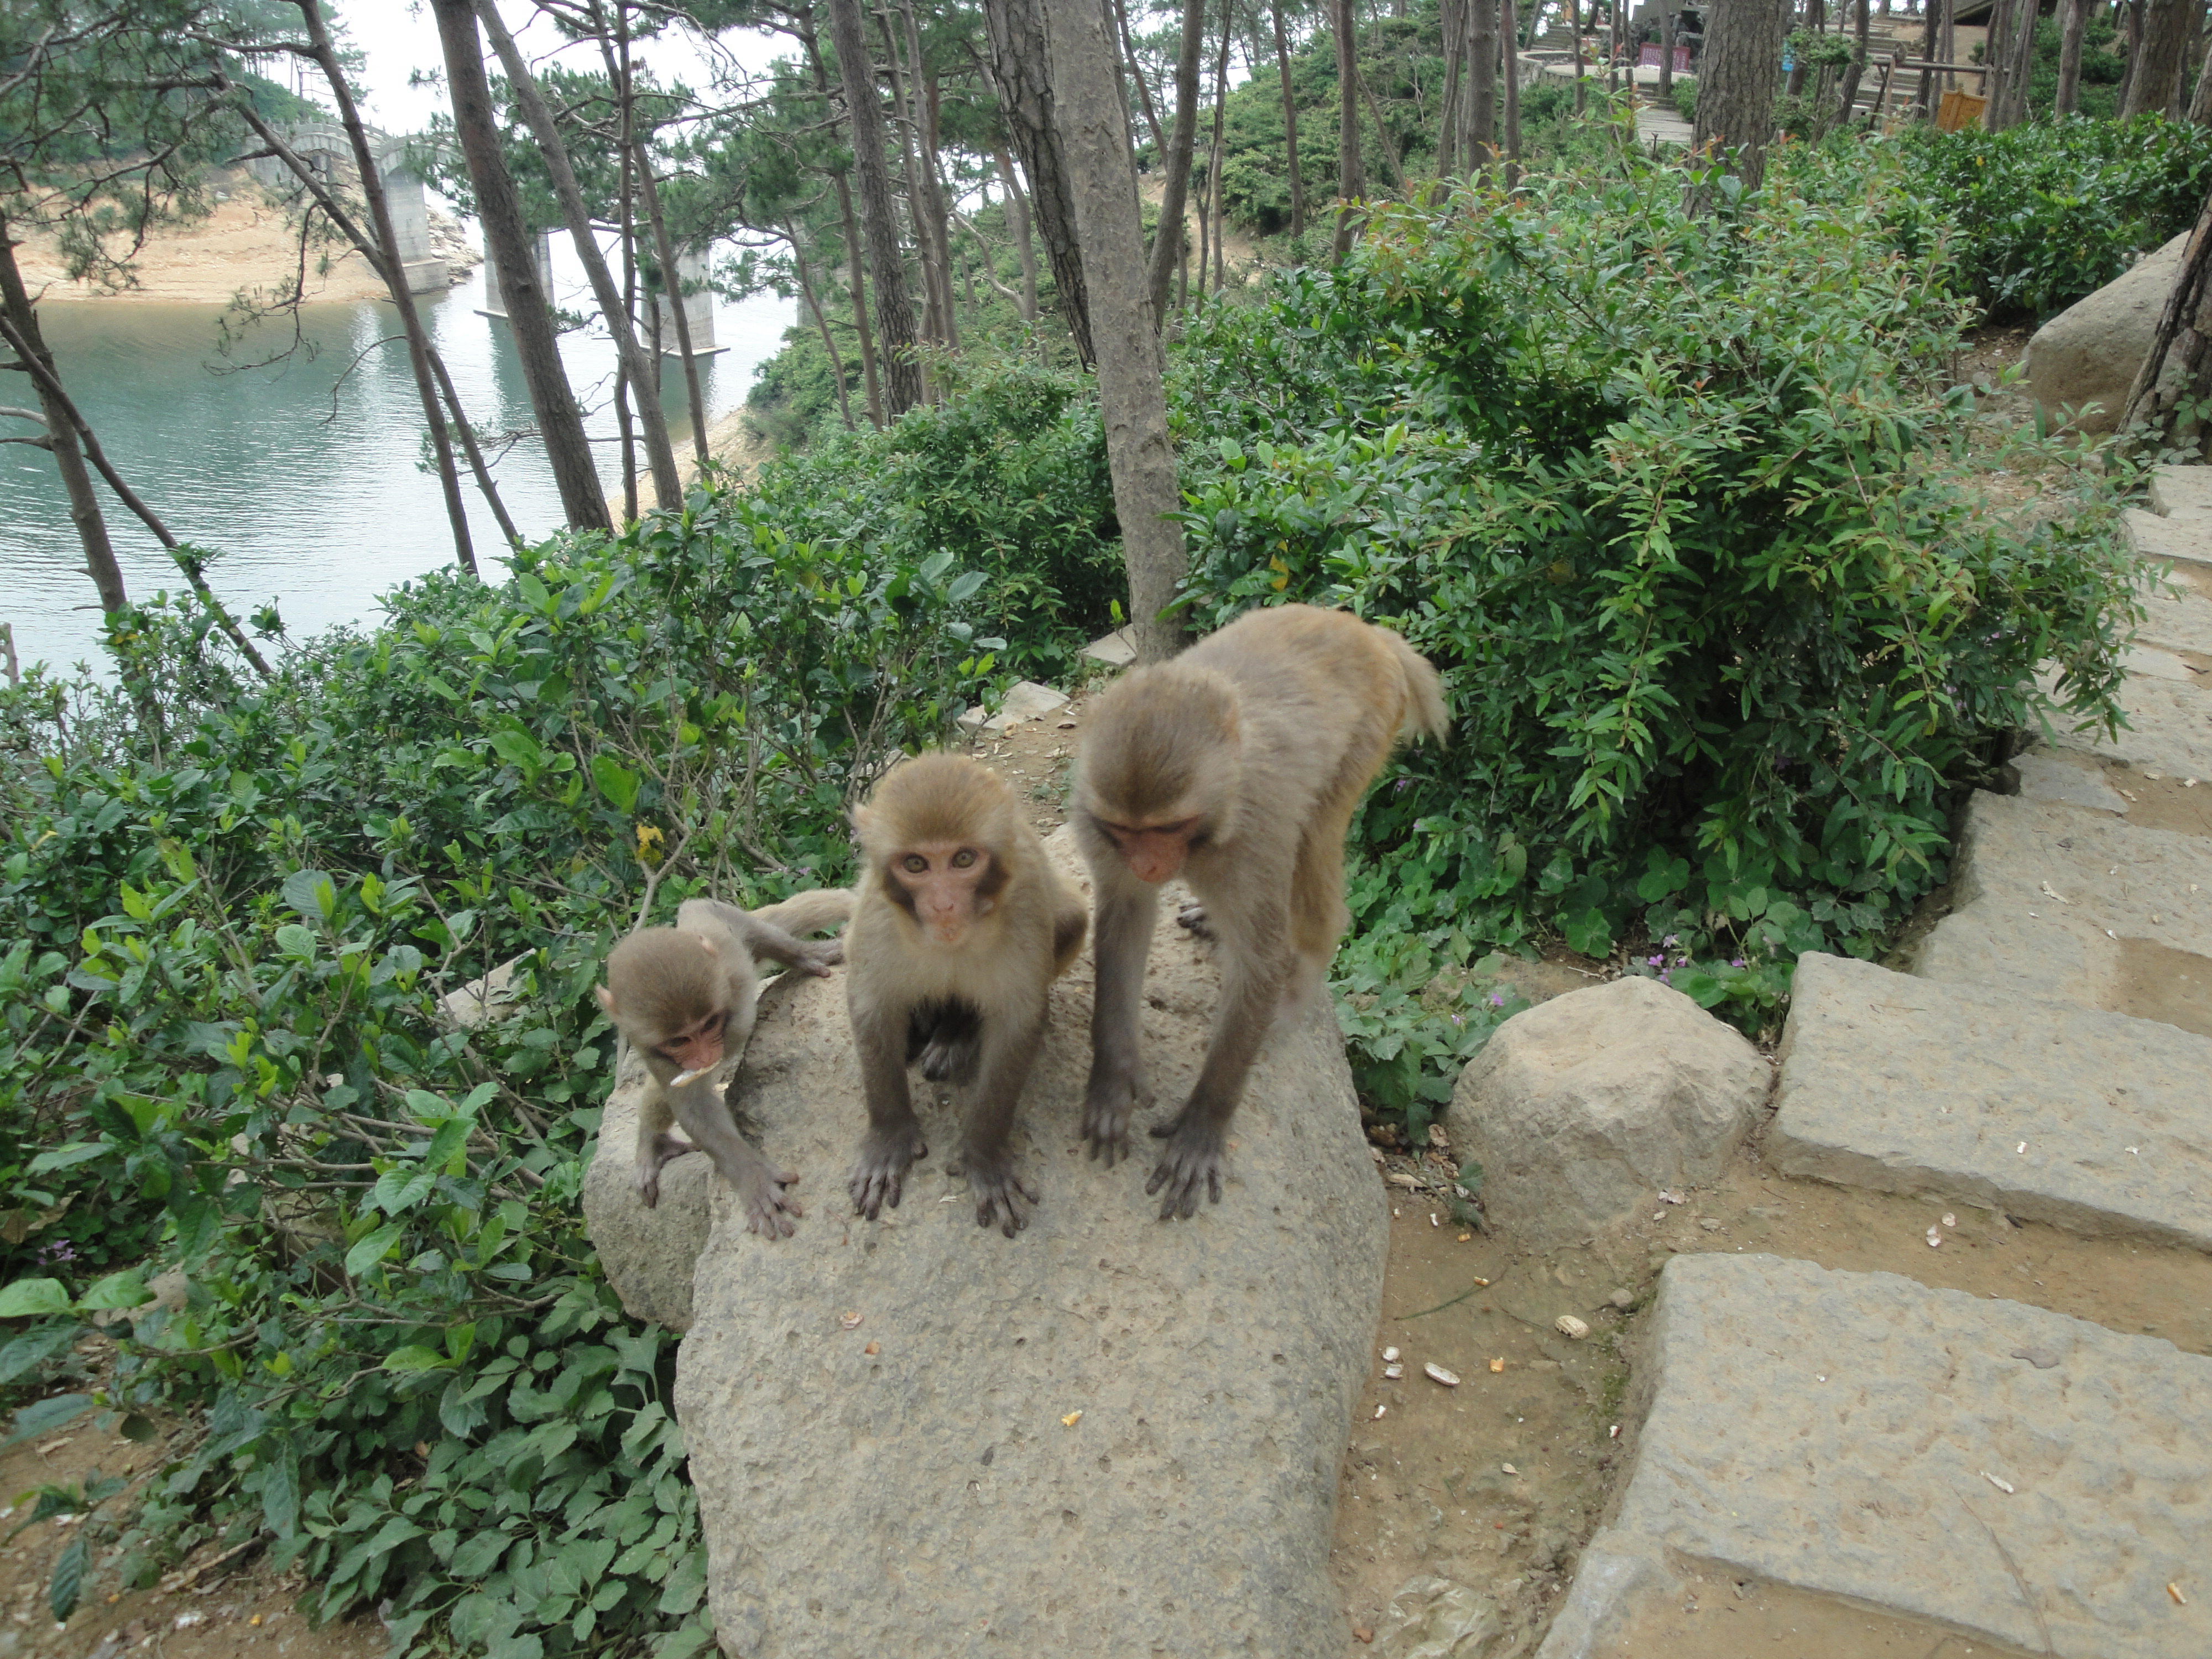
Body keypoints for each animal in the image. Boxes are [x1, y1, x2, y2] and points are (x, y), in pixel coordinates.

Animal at [597, 898, 854, 1239]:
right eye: (679, 1040)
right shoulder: (644, 1041)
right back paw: (653, 1142)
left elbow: (708, 910)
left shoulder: (730, 966)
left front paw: (805, 955)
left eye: (707, 1025)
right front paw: (753, 1177)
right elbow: (694, 1106)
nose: (706, 1055)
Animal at [841, 752, 1084, 1239]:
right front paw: (888, 1137)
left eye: (964, 859)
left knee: (1071, 918)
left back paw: (957, 1032)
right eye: (916, 865)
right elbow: (871, 1006)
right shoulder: (877, 916)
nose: (944, 906)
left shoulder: (1026, 902)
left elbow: (1016, 1024)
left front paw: (984, 1157)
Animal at [1075, 606, 1451, 1221]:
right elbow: (1124, 920)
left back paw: (1303, 975)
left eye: (1166, 828)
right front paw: (1114, 1077)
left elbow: (1259, 962)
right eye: (1129, 831)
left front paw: (1203, 1125)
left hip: (1370, 726)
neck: (1207, 826)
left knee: (1316, 836)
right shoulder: (1097, 825)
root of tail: (1368, 632)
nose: (1150, 864)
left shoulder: (1252, 834)